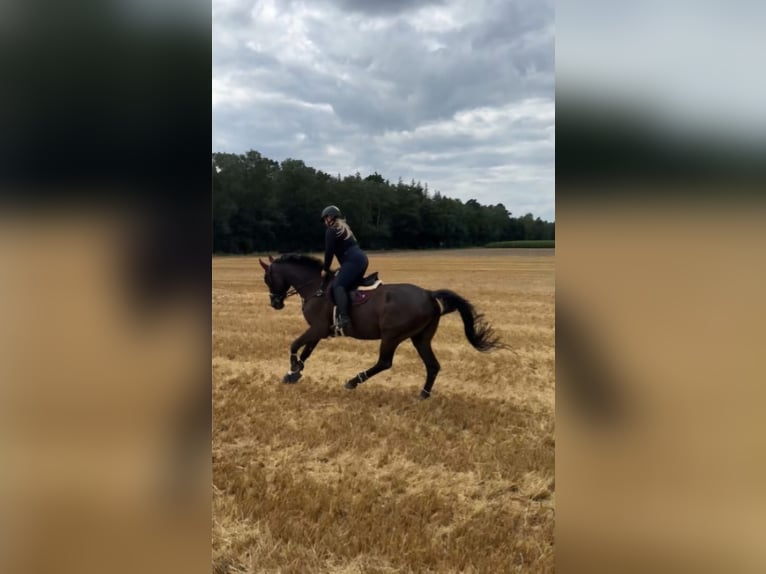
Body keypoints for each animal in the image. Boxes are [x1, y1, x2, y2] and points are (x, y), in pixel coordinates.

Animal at [260, 255, 508, 400]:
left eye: (267, 279)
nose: (275, 303)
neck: (315, 287)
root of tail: (429, 294)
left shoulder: (318, 328)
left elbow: (295, 345)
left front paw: (293, 369)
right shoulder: (320, 331)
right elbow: (307, 351)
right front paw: (295, 372)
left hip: (392, 336)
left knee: (385, 362)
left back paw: (353, 381)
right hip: (421, 338)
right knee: (433, 365)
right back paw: (423, 394)